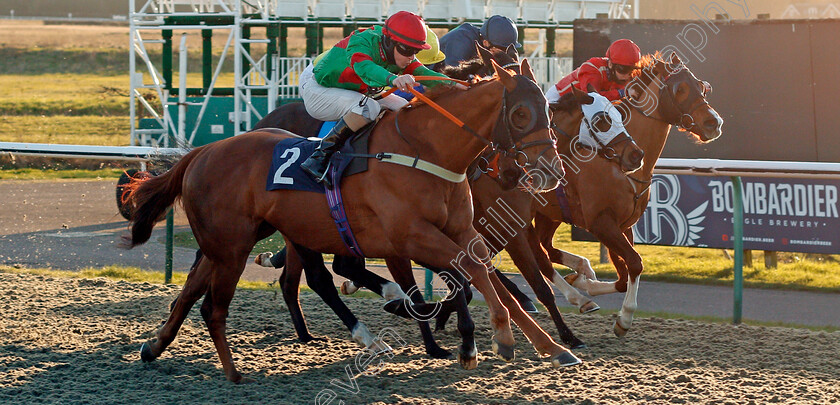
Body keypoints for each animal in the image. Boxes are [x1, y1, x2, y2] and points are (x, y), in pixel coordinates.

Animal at [124, 58, 580, 380]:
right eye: (520, 114)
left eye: (548, 109)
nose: (551, 170)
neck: (428, 151)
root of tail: (203, 151)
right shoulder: (411, 236)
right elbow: (469, 272)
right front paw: (494, 337)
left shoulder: (460, 229)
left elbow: (483, 273)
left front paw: (553, 347)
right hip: (235, 244)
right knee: (293, 283)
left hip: (237, 240)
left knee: (193, 288)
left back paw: (154, 346)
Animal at [536, 53, 724, 334]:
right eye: (680, 89)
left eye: (702, 86)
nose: (713, 122)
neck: (617, 165)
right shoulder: (601, 222)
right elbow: (635, 262)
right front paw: (624, 318)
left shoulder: (624, 224)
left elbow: (625, 275)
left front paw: (584, 283)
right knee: (539, 254)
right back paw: (577, 292)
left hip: (549, 213)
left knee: (545, 247)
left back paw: (581, 275)